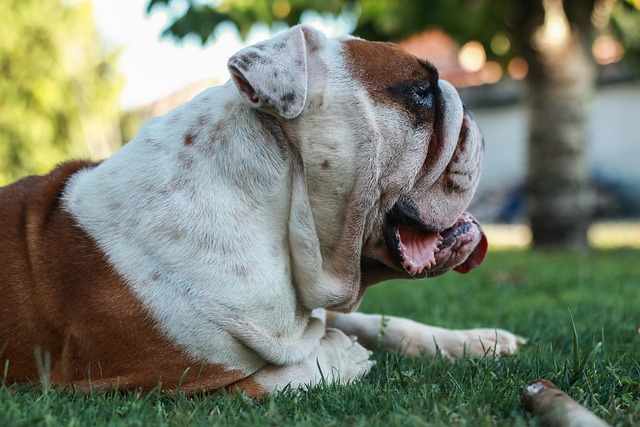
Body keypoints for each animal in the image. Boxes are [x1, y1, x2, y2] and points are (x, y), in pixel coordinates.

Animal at [0, 25, 524, 396]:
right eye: (419, 92)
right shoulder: (158, 383)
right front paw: (343, 356)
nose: (470, 114)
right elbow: (287, 373)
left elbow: (380, 323)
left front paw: (476, 340)